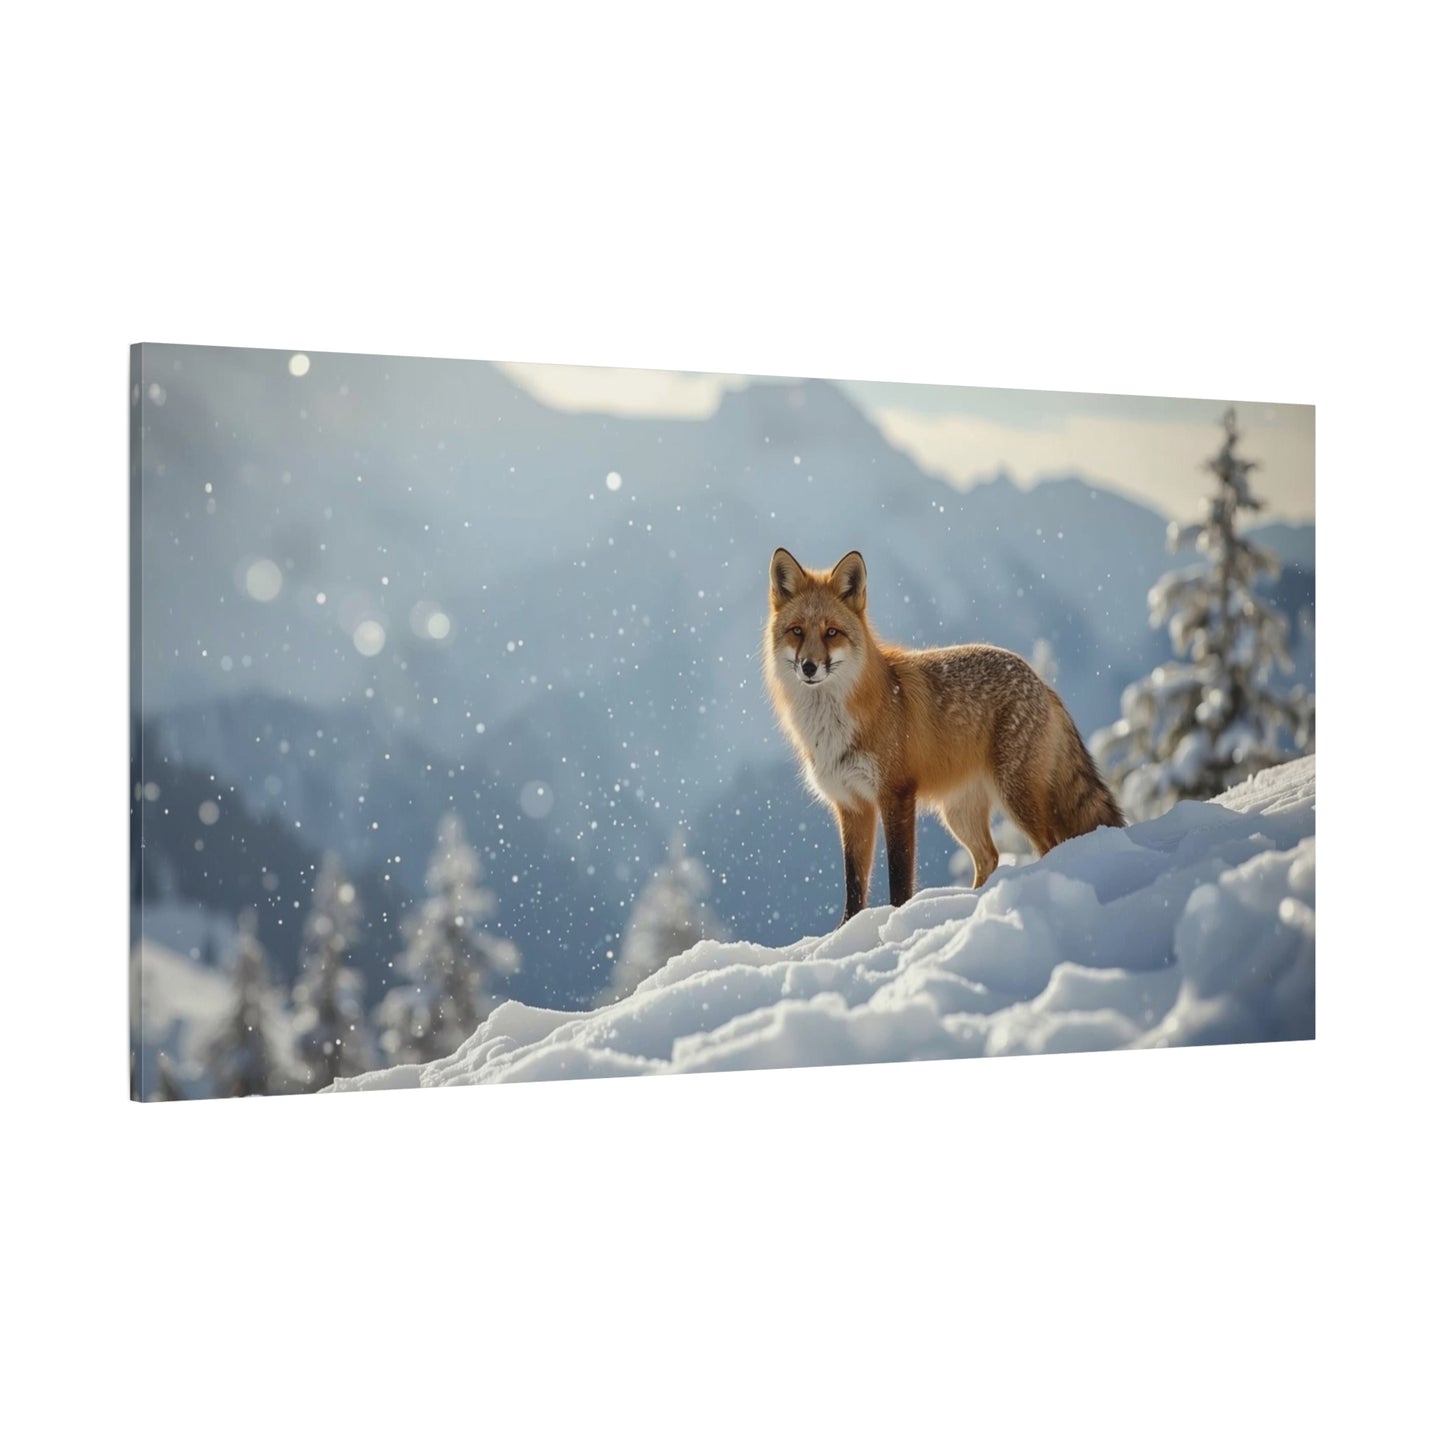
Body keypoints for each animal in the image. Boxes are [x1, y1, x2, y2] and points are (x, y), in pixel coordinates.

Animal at [765, 547, 1125, 925]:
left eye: (832, 632)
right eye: (797, 631)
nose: (809, 667)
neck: (833, 726)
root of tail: (1041, 680)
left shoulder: (896, 794)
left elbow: (900, 879)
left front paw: (897, 923)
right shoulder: (852, 806)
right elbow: (854, 887)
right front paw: (846, 932)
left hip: (1016, 796)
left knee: (1049, 844)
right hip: (959, 813)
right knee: (989, 857)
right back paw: (971, 903)